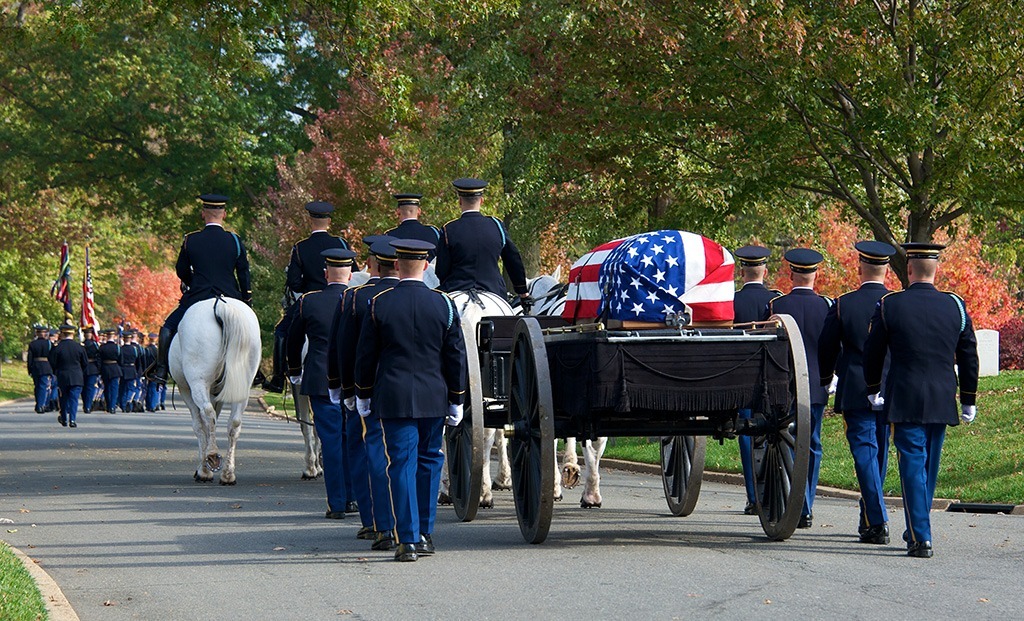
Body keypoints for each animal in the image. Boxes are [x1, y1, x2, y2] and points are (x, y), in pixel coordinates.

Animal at [169, 297, 262, 487]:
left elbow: (199, 425)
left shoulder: (186, 390)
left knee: (207, 413)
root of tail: (220, 304)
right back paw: (228, 474)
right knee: (234, 423)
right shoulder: (216, 394)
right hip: (243, 387)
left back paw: (211, 458)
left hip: (198, 382)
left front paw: (202, 470)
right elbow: (211, 423)